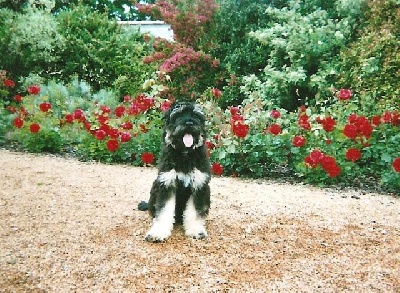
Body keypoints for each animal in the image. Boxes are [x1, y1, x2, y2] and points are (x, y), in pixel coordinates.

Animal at [145, 101, 212, 241]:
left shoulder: (198, 186)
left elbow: (195, 211)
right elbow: (163, 211)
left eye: (196, 115)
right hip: (154, 187)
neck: (185, 154)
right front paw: (158, 232)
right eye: (179, 114)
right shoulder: (166, 184)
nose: (189, 123)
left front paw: (196, 230)